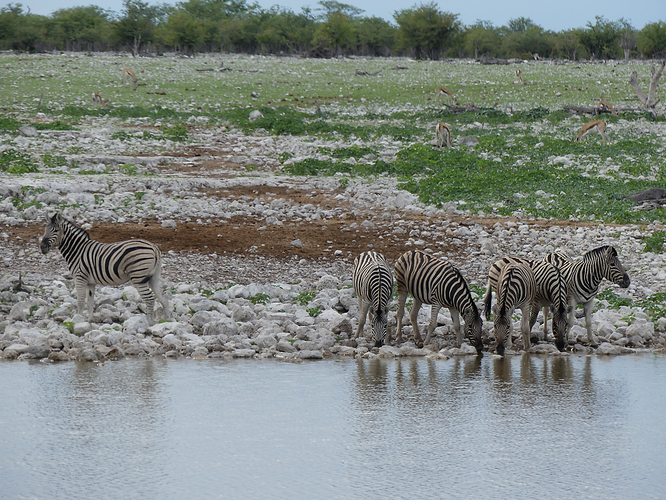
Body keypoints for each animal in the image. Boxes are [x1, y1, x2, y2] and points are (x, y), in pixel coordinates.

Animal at [39, 212, 169, 324]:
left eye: (56, 230)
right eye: (45, 230)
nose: (42, 247)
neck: (77, 251)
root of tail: (153, 247)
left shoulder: (80, 277)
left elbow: (80, 301)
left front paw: (77, 320)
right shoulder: (90, 282)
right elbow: (90, 301)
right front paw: (89, 321)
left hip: (138, 276)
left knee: (150, 299)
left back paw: (150, 323)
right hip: (154, 276)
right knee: (163, 298)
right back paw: (168, 320)